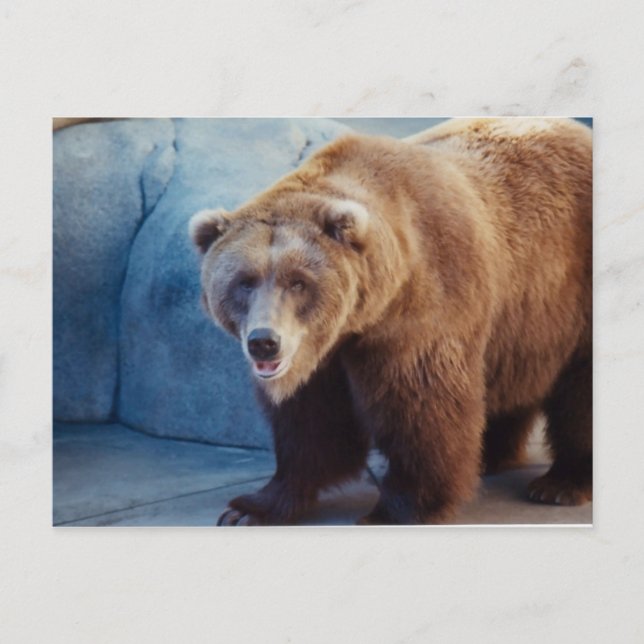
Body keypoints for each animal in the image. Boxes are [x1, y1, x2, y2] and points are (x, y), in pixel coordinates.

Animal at [189, 117, 592, 525]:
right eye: (244, 281)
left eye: (298, 282)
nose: (264, 342)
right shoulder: (321, 356)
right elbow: (310, 423)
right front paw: (250, 508)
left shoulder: (419, 314)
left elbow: (420, 410)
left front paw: (394, 511)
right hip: (519, 324)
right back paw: (492, 455)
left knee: (579, 393)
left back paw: (560, 483)